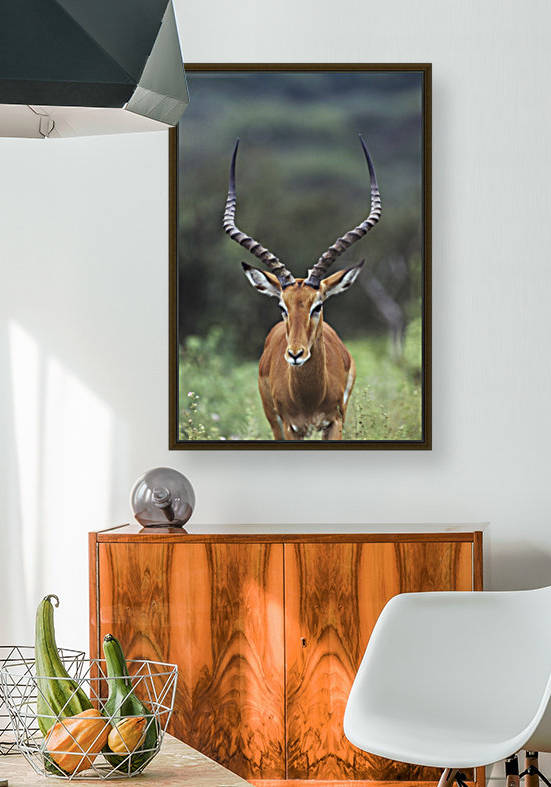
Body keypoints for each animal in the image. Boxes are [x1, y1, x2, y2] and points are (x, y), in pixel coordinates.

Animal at [223, 135, 382, 440]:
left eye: (317, 305)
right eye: (282, 307)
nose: (295, 355)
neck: (309, 396)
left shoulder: (334, 424)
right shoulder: (290, 427)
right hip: (274, 423)